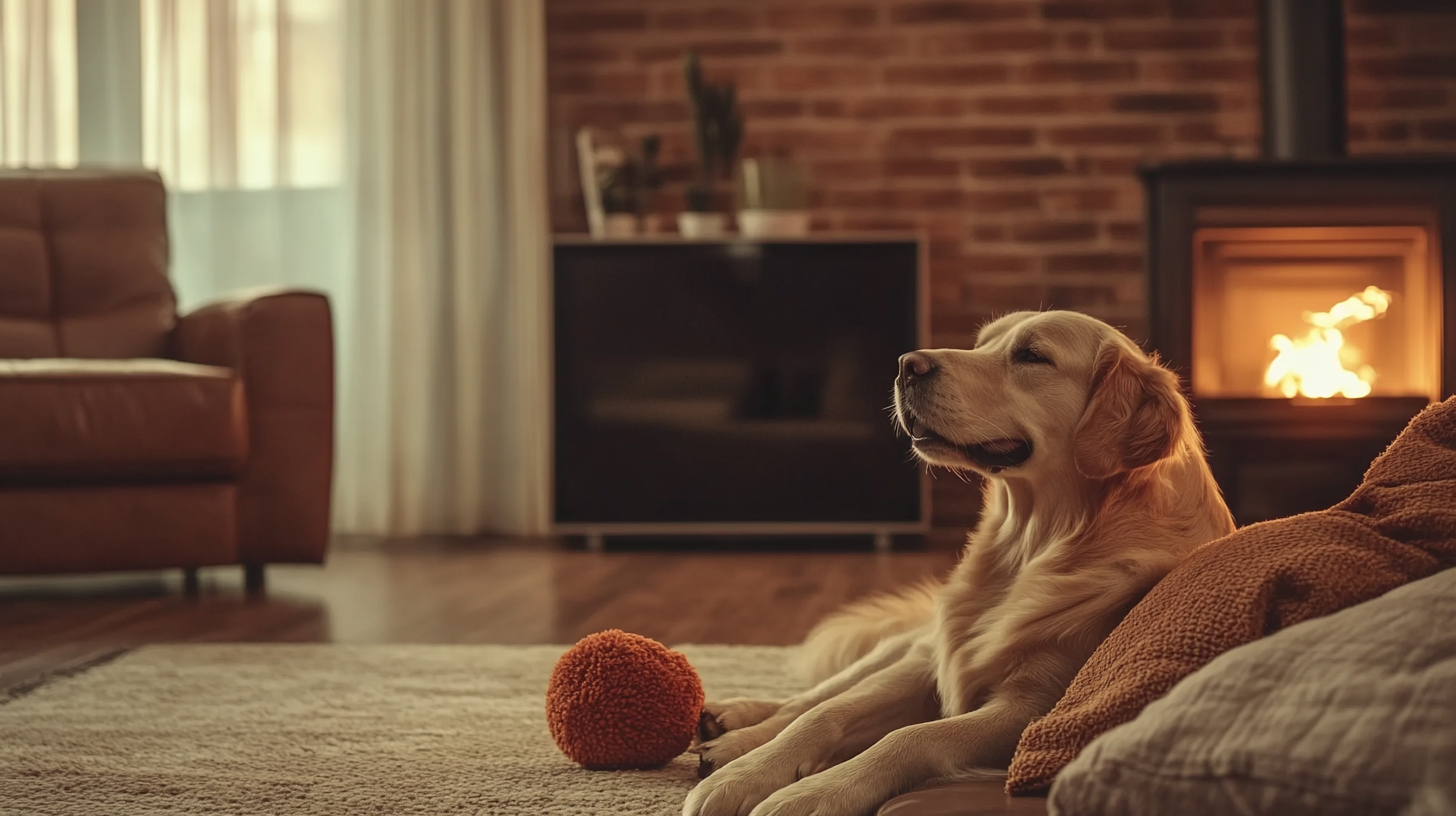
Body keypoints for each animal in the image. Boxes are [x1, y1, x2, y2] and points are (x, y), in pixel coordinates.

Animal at [687, 308, 1234, 810]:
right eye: (981, 343)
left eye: (1031, 355)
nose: (906, 365)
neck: (1029, 545)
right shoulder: (930, 664)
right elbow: (824, 713)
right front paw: (745, 774)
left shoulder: (1030, 710)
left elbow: (912, 736)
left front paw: (814, 793)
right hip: (915, 643)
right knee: (809, 698)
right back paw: (732, 727)